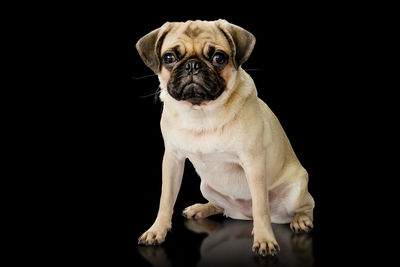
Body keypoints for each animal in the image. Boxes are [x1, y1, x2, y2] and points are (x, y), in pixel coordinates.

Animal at [136, 19, 314, 258]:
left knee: (305, 206)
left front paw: (264, 239)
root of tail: (243, 215)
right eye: (169, 58)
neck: (201, 113)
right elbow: (166, 199)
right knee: (222, 207)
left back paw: (301, 220)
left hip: (296, 190)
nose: (192, 65)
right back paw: (201, 208)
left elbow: (261, 207)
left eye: (218, 58)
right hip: (207, 187)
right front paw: (157, 230)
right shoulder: (173, 159)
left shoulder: (253, 162)